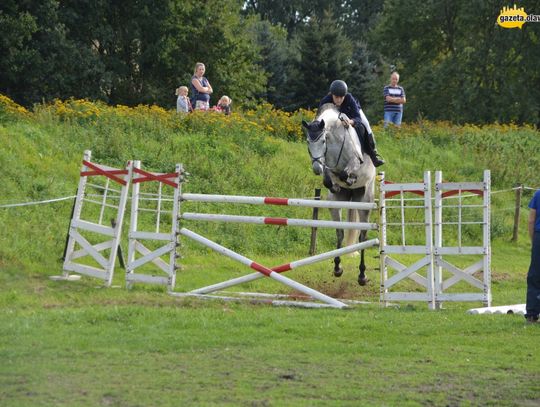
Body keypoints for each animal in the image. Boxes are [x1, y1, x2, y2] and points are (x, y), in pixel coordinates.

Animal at [304, 103, 376, 286]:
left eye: (323, 141)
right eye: (308, 142)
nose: (316, 168)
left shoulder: (354, 161)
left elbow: (345, 172)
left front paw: (349, 179)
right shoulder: (327, 167)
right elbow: (328, 179)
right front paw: (335, 185)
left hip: (365, 201)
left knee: (362, 237)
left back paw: (362, 275)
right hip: (336, 205)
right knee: (340, 233)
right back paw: (337, 267)